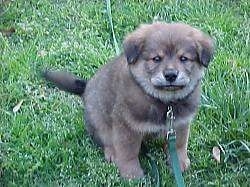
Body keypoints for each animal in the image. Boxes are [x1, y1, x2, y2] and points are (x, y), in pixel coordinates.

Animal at [43, 22, 215, 179]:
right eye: (156, 59)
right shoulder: (126, 127)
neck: (165, 102)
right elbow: (128, 153)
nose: (171, 75)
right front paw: (132, 174)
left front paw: (179, 163)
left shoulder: (180, 124)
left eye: (184, 58)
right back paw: (112, 153)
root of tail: (85, 89)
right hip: (99, 122)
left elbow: (179, 145)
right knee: (105, 140)